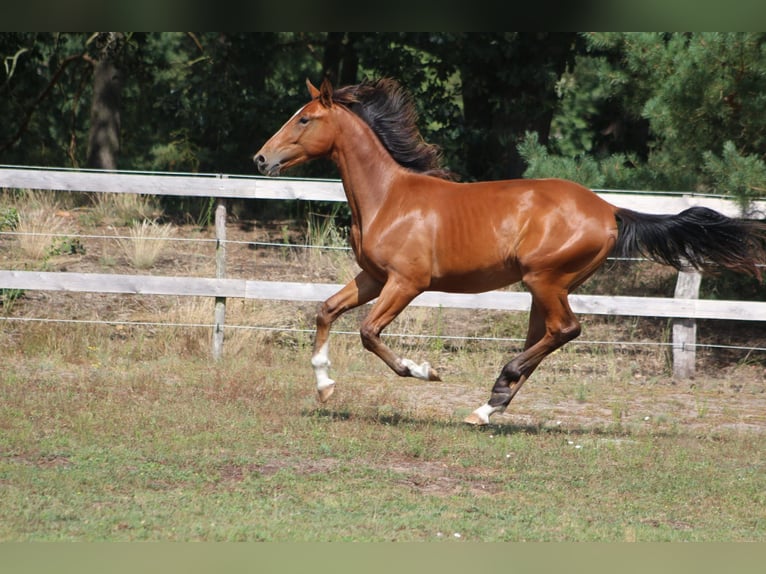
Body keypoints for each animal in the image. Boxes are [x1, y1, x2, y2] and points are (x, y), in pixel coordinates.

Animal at [255, 79, 764, 426]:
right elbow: (325, 311)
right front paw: (325, 387)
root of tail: (610, 209)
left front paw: (424, 371)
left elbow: (367, 332)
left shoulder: (406, 282)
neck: (388, 198)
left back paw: (496, 391)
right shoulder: (373, 278)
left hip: (545, 279)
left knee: (566, 329)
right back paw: (489, 405)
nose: (261, 158)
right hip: (545, 286)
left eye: (304, 119)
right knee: (548, 335)